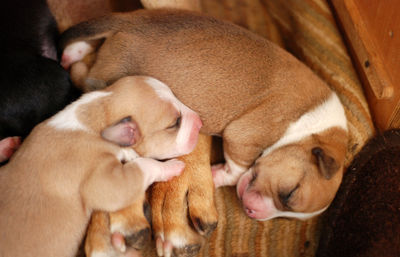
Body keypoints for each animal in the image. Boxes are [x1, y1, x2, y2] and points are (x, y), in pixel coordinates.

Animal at [0, 75, 202, 256]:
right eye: (175, 123)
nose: (200, 122)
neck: (97, 114)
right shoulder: (106, 184)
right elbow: (145, 165)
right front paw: (171, 167)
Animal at [60, 8, 350, 254]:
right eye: (288, 194)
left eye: (288, 216)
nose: (252, 213)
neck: (311, 126)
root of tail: (130, 20)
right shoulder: (243, 137)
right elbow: (238, 170)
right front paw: (216, 174)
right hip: (110, 75)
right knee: (82, 75)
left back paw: (74, 51)